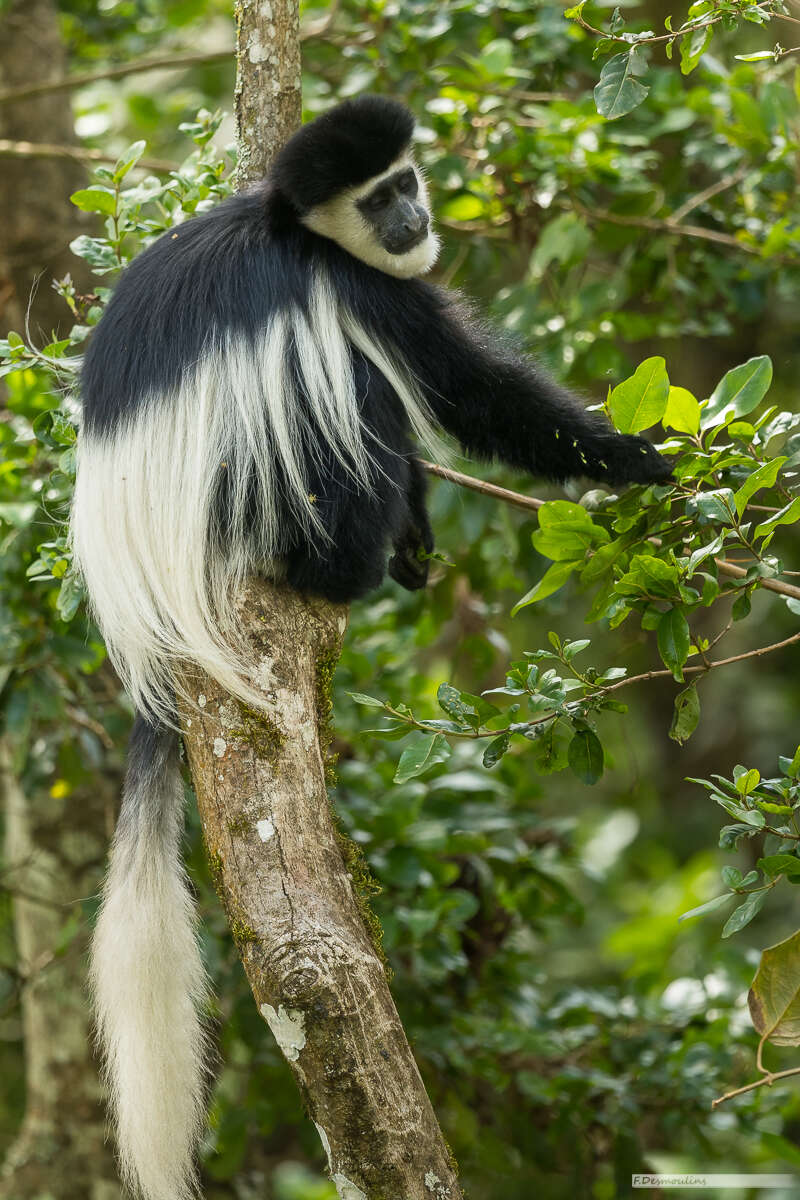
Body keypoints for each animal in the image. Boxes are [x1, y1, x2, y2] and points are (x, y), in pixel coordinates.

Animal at [70, 96, 671, 1200]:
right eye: (383, 195)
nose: (414, 217)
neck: (289, 225)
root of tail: (152, 614)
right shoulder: (359, 291)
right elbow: (472, 392)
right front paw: (641, 459)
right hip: (267, 496)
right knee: (355, 401)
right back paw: (351, 564)